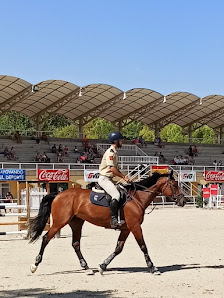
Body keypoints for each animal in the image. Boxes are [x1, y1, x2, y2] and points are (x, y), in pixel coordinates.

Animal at [27, 171, 186, 276]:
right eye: (174, 185)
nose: (183, 201)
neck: (137, 198)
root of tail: (58, 194)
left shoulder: (126, 229)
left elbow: (118, 248)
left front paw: (103, 266)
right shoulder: (135, 227)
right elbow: (143, 246)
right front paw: (153, 268)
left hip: (76, 223)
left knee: (75, 244)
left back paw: (86, 267)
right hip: (60, 222)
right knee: (46, 238)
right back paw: (34, 265)